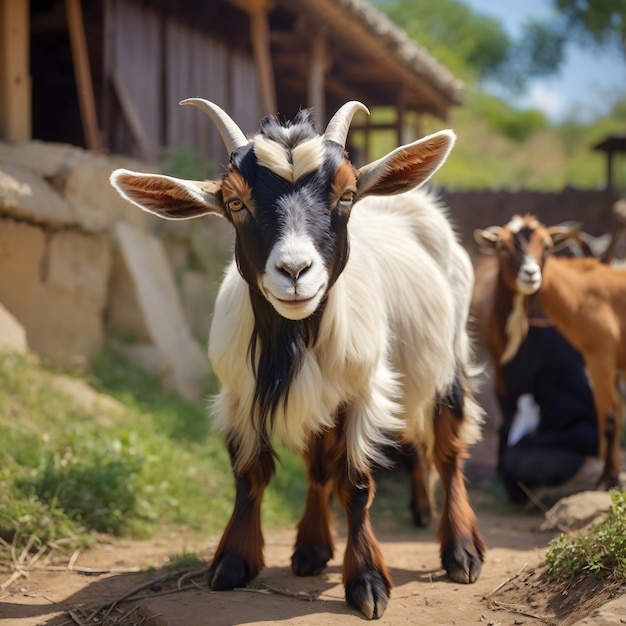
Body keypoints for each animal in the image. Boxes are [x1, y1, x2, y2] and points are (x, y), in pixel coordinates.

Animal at [111, 100, 482, 616]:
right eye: (235, 202)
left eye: (346, 194)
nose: (294, 271)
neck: (290, 340)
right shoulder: (240, 396)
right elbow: (250, 477)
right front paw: (233, 563)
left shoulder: (363, 392)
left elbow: (356, 484)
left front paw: (367, 582)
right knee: (318, 465)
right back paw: (311, 547)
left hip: (448, 358)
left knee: (448, 450)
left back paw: (461, 552)